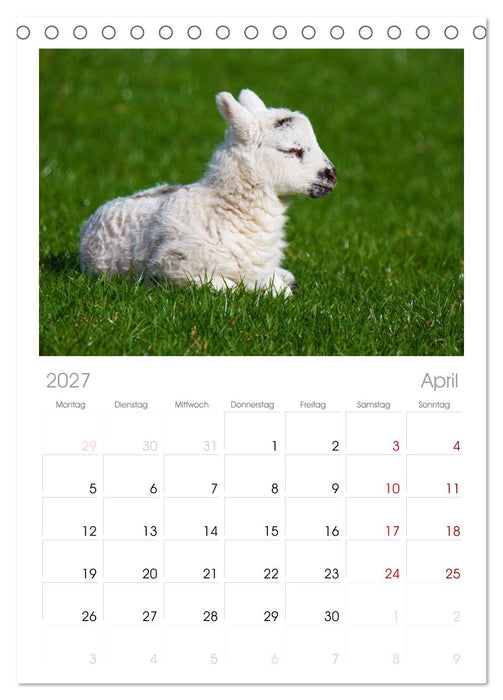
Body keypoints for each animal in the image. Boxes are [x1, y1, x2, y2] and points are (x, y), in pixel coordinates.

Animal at [80, 89, 337, 295]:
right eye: (291, 150)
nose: (332, 175)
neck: (226, 209)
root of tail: (90, 220)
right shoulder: (175, 267)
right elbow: (231, 288)